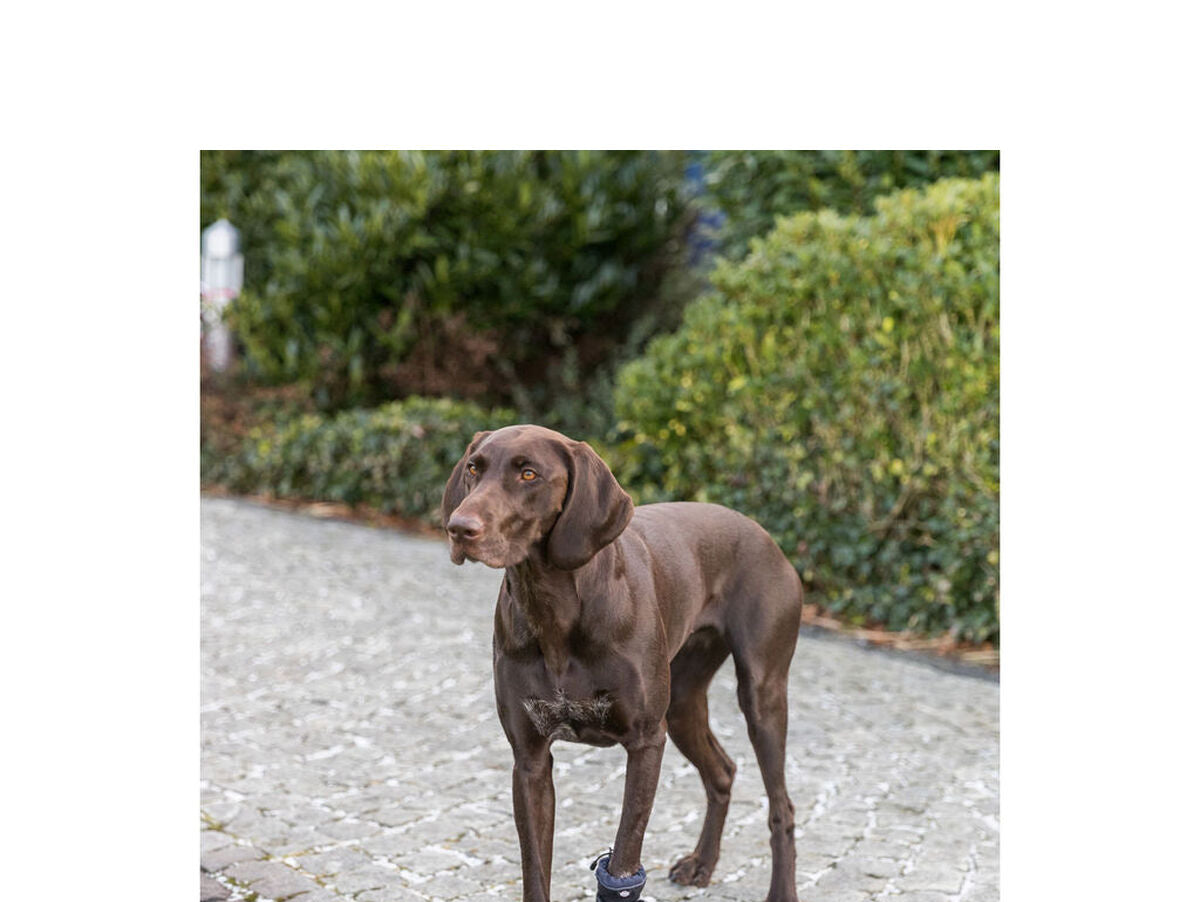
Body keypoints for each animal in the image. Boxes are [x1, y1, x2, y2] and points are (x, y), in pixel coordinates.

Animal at [442, 425, 802, 902]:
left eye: (528, 473)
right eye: (473, 468)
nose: (459, 528)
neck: (553, 609)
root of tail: (766, 537)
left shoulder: (646, 741)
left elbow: (625, 859)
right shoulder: (530, 759)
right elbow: (535, 869)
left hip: (761, 695)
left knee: (782, 807)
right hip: (682, 703)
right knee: (722, 773)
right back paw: (702, 863)